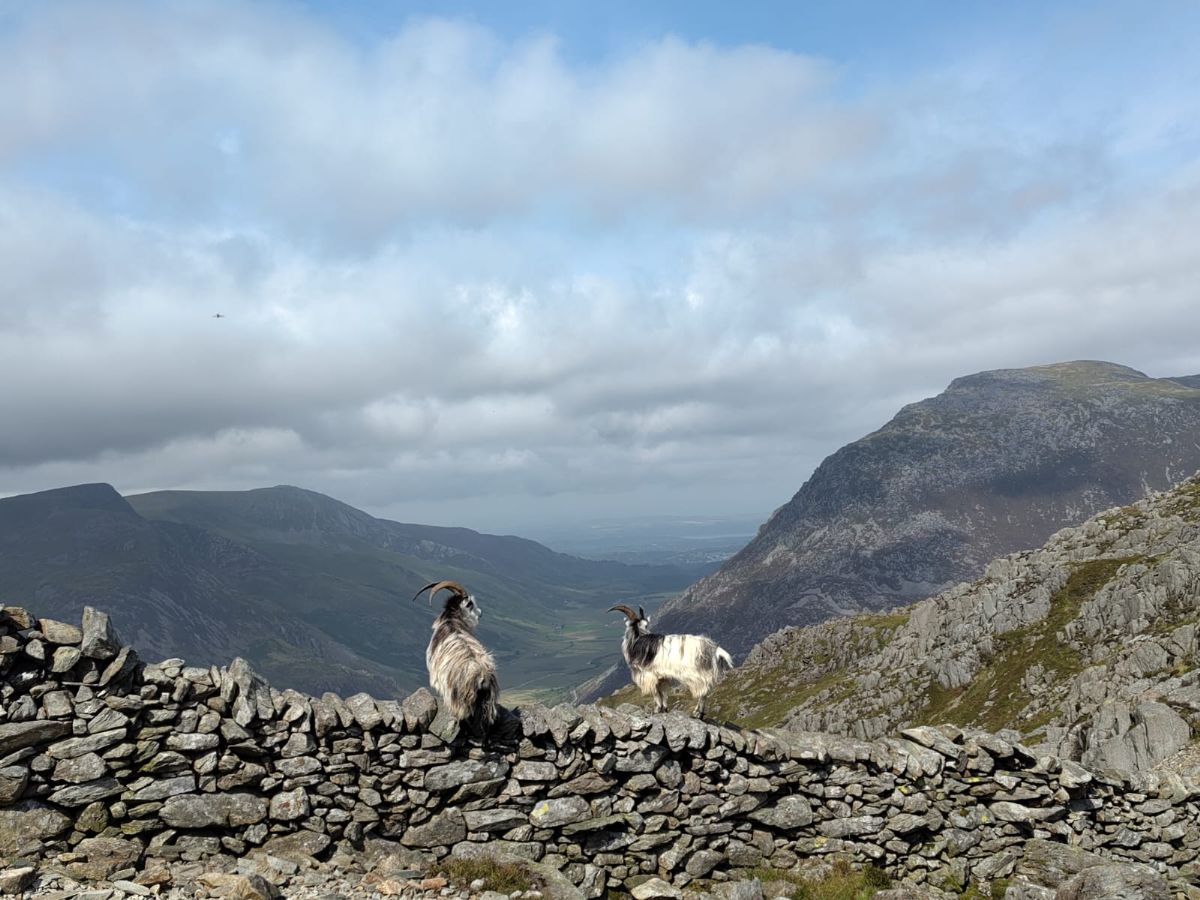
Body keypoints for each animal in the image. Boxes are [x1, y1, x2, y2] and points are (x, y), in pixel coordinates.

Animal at [412, 580, 498, 737]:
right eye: (471, 604)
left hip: (459, 698)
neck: (452, 620)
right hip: (487, 701)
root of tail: (482, 675)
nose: (481, 613)